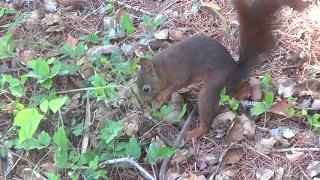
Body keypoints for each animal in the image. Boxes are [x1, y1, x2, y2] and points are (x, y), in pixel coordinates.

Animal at [136, 0, 308, 142]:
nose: (143, 102)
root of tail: (236, 72)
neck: (163, 68)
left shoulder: (180, 73)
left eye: (146, 89)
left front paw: (160, 98)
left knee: (206, 115)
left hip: (213, 86)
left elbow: (175, 85)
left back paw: (195, 132)